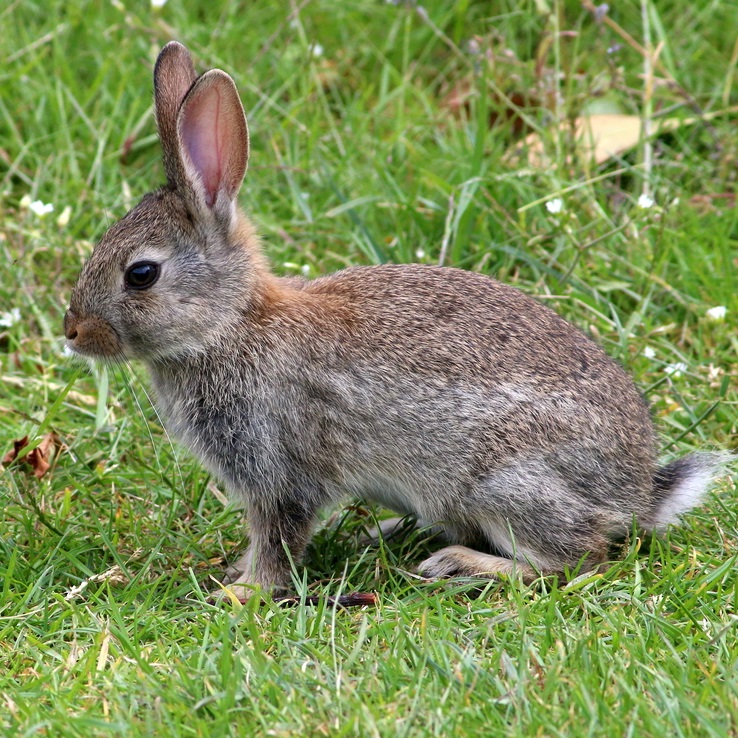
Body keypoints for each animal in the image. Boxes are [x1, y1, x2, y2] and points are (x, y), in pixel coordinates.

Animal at [64, 41, 725, 598]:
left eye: (141, 274)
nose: (73, 332)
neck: (229, 325)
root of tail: (638, 493)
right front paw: (234, 576)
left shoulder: (280, 468)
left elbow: (279, 536)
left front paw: (241, 594)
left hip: (506, 482)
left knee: (577, 557)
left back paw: (459, 563)